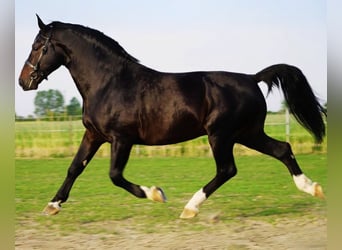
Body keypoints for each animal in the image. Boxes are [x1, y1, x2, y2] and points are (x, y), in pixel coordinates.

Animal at [18, 16, 326, 219]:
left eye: (37, 46)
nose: (24, 81)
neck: (109, 82)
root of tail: (252, 78)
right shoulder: (94, 135)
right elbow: (74, 168)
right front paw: (53, 205)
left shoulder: (122, 138)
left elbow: (115, 175)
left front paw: (156, 193)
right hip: (247, 133)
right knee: (282, 149)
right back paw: (311, 188)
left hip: (221, 135)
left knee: (227, 169)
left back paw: (190, 208)